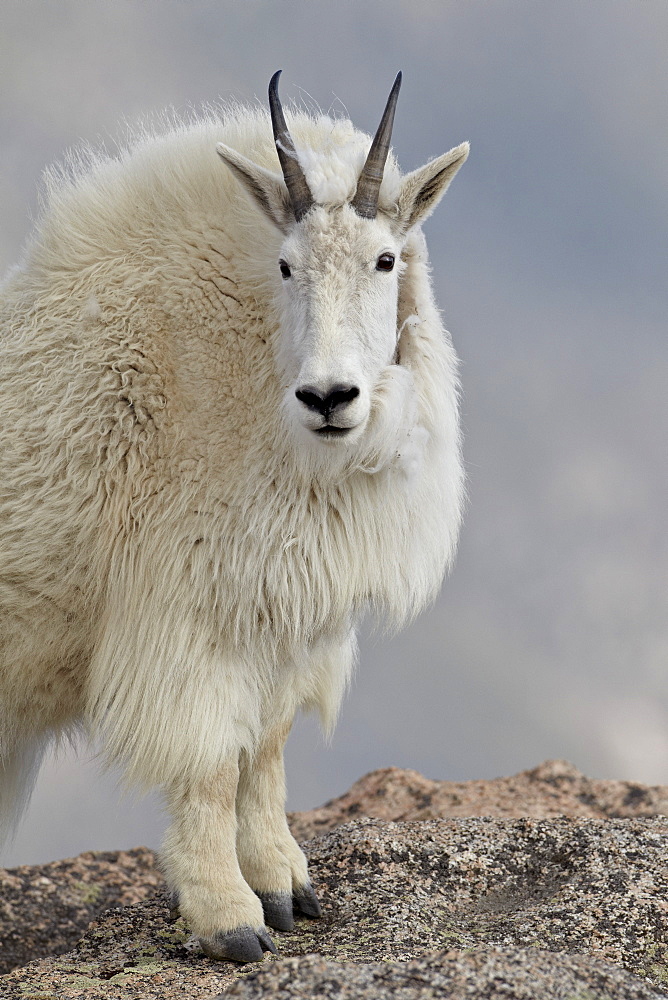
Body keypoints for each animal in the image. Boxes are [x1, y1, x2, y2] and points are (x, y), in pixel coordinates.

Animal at [0, 72, 468, 960]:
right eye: (285, 264)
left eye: (386, 258)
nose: (329, 398)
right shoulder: (188, 612)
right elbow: (212, 763)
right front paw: (230, 920)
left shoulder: (285, 613)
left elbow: (268, 748)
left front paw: (287, 886)